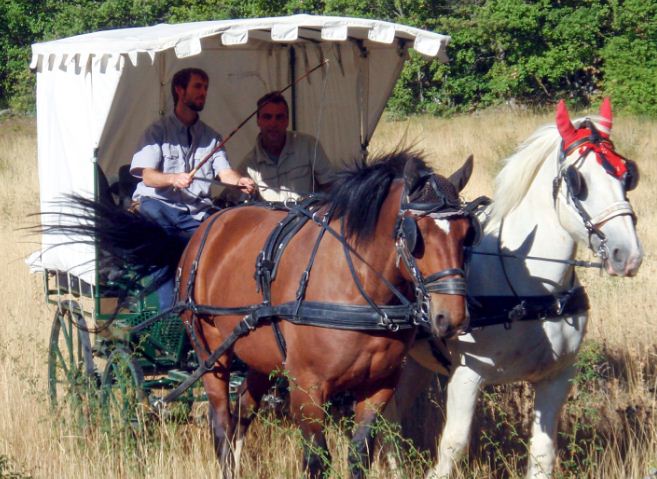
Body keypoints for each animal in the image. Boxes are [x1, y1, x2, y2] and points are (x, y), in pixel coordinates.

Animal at [384, 98, 640, 479]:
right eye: (578, 181)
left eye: (627, 175)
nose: (629, 254)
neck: (532, 292)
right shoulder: (467, 376)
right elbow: (452, 448)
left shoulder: (556, 378)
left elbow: (543, 455)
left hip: (417, 359)